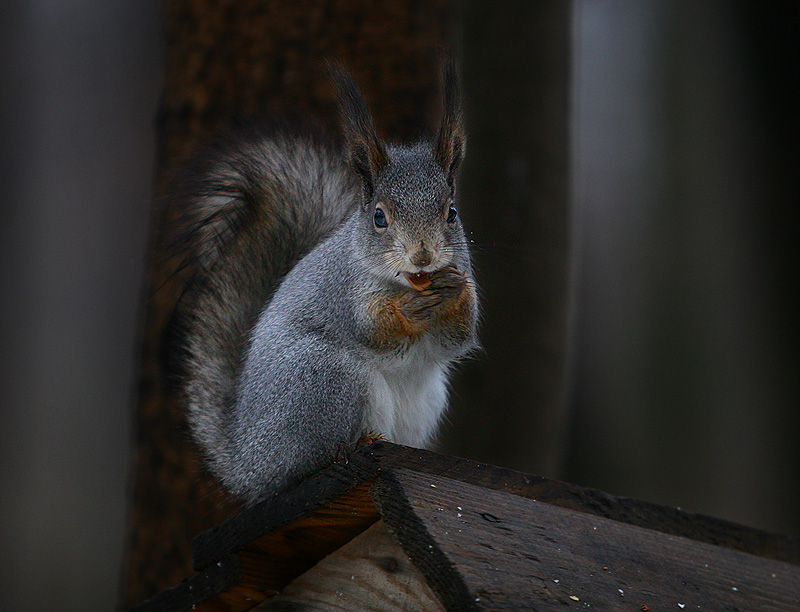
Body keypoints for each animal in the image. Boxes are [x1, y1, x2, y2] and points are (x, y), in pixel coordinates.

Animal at [169, 59, 478, 504]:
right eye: (379, 217)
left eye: (451, 212)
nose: (423, 256)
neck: (407, 282)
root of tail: (246, 460)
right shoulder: (343, 290)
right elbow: (372, 330)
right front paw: (406, 310)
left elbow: (460, 335)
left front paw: (453, 294)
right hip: (323, 379)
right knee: (302, 463)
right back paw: (350, 446)